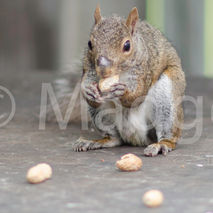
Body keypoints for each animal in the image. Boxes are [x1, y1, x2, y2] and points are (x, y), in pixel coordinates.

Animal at [71, 5, 185, 156]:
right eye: (89, 44)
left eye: (127, 45)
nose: (103, 69)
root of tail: (136, 138)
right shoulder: (89, 68)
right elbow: (87, 86)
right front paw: (88, 91)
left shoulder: (145, 69)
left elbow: (137, 95)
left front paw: (123, 91)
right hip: (102, 116)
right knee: (114, 138)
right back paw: (96, 142)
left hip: (167, 97)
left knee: (169, 134)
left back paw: (162, 144)